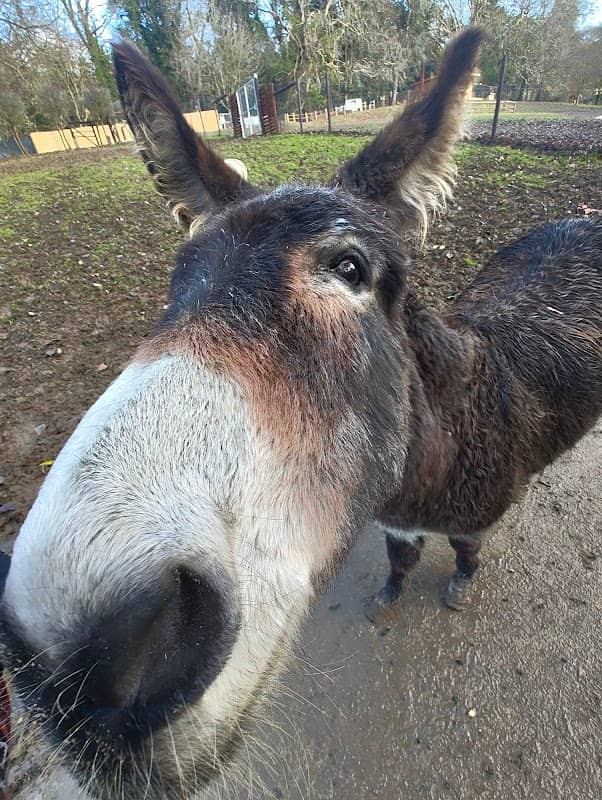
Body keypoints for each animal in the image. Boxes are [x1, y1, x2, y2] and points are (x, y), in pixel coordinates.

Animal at [0, 27, 600, 800]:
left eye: (350, 269)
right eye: (179, 280)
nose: (69, 669)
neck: (424, 470)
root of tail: (583, 218)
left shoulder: (472, 515)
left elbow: (466, 552)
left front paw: (459, 585)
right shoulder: (395, 520)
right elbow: (399, 559)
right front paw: (389, 594)